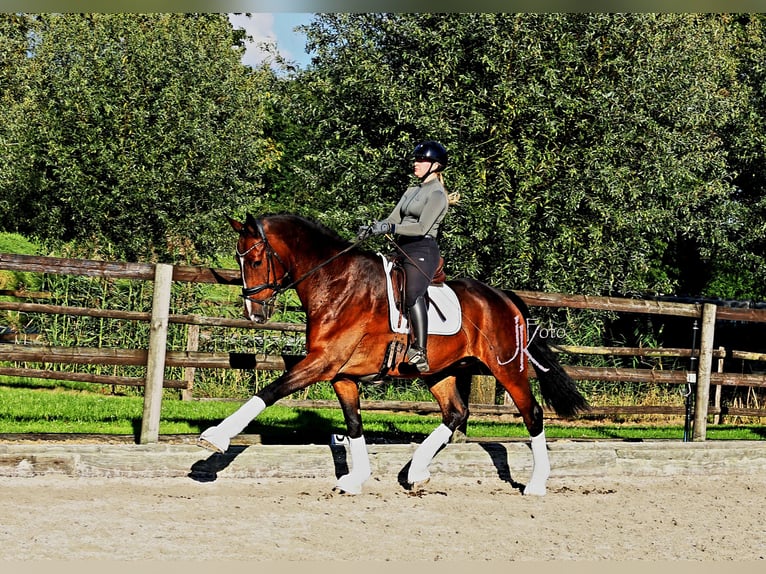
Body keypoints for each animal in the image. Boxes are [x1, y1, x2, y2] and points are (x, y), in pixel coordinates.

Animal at [198, 214, 588, 498]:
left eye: (256, 259)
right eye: (240, 259)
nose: (254, 313)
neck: (336, 281)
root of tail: (502, 298)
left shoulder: (322, 362)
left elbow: (270, 391)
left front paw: (216, 437)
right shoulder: (341, 373)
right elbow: (354, 424)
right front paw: (356, 478)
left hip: (507, 367)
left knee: (532, 413)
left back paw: (536, 484)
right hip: (439, 371)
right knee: (455, 412)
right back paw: (417, 471)